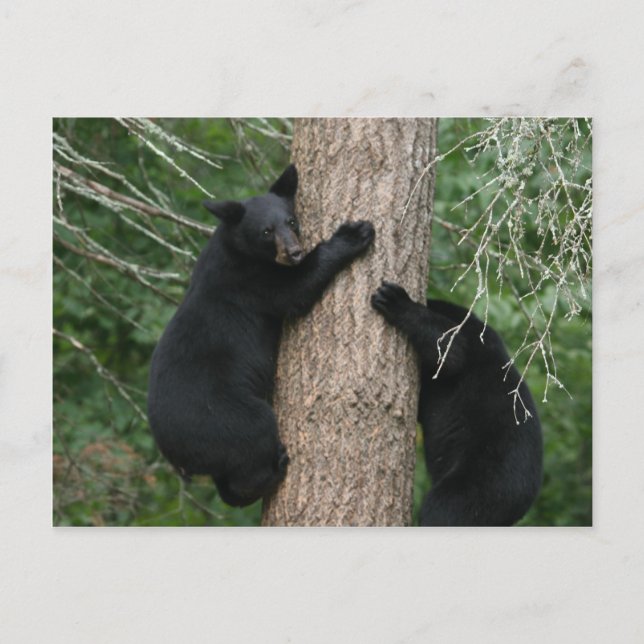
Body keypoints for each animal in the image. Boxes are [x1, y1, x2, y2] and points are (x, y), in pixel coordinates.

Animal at [148, 164, 375, 507]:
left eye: (291, 221)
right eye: (266, 232)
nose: (294, 252)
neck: (235, 248)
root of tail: (177, 458)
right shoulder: (251, 281)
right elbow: (298, 288)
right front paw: (354, 234)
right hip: (224, 418)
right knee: (254, 437)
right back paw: (274, 470)